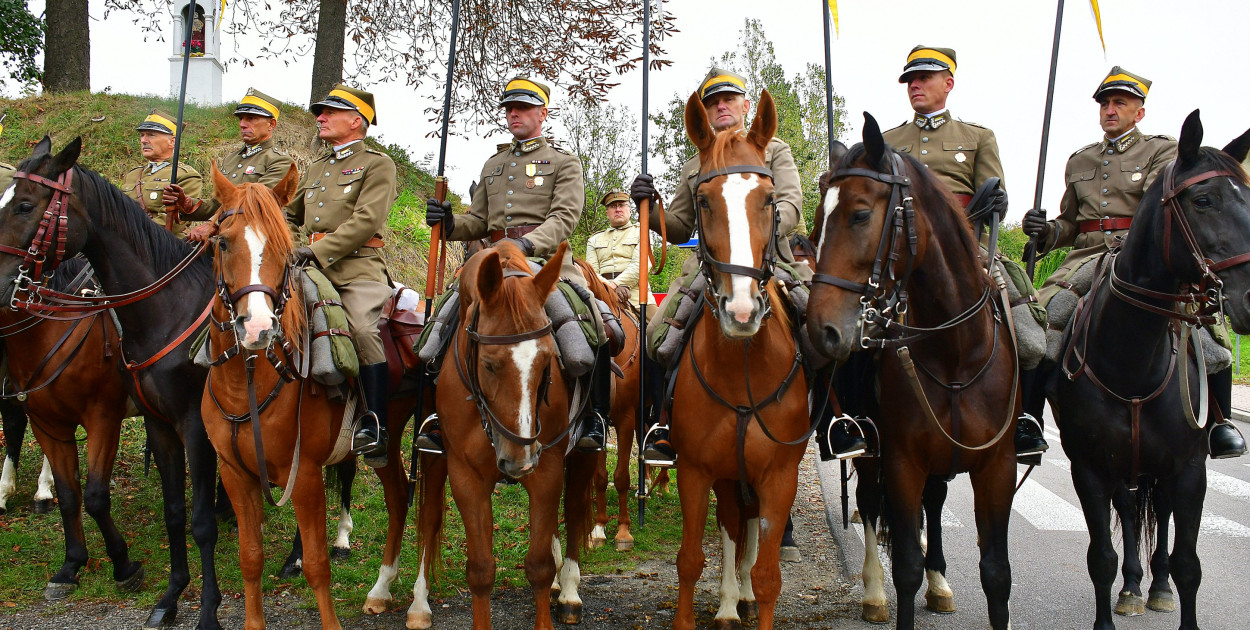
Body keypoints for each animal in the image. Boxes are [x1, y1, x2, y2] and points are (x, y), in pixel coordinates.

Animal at [412, 241, 597, 630]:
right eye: (488, 364)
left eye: (548, 361)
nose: (518, 460)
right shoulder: (466, 477)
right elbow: (481, 571)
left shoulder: (546, 470)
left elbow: (539, 567)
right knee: (430, 516)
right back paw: (417, 606)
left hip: (582, 455)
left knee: (573, 511)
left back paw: (569, 592)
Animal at [805, 114, 1020, 630]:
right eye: (817, 222)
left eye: (860, 215)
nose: (820, 330)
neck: (956, 351)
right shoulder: (902, 460)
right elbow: (903, 563)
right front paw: (892, 587)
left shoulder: (997, 466)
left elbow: (996, 572)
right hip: (867, 447)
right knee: (867, 504)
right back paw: (872, 591)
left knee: (935, 501)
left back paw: (939, 581)